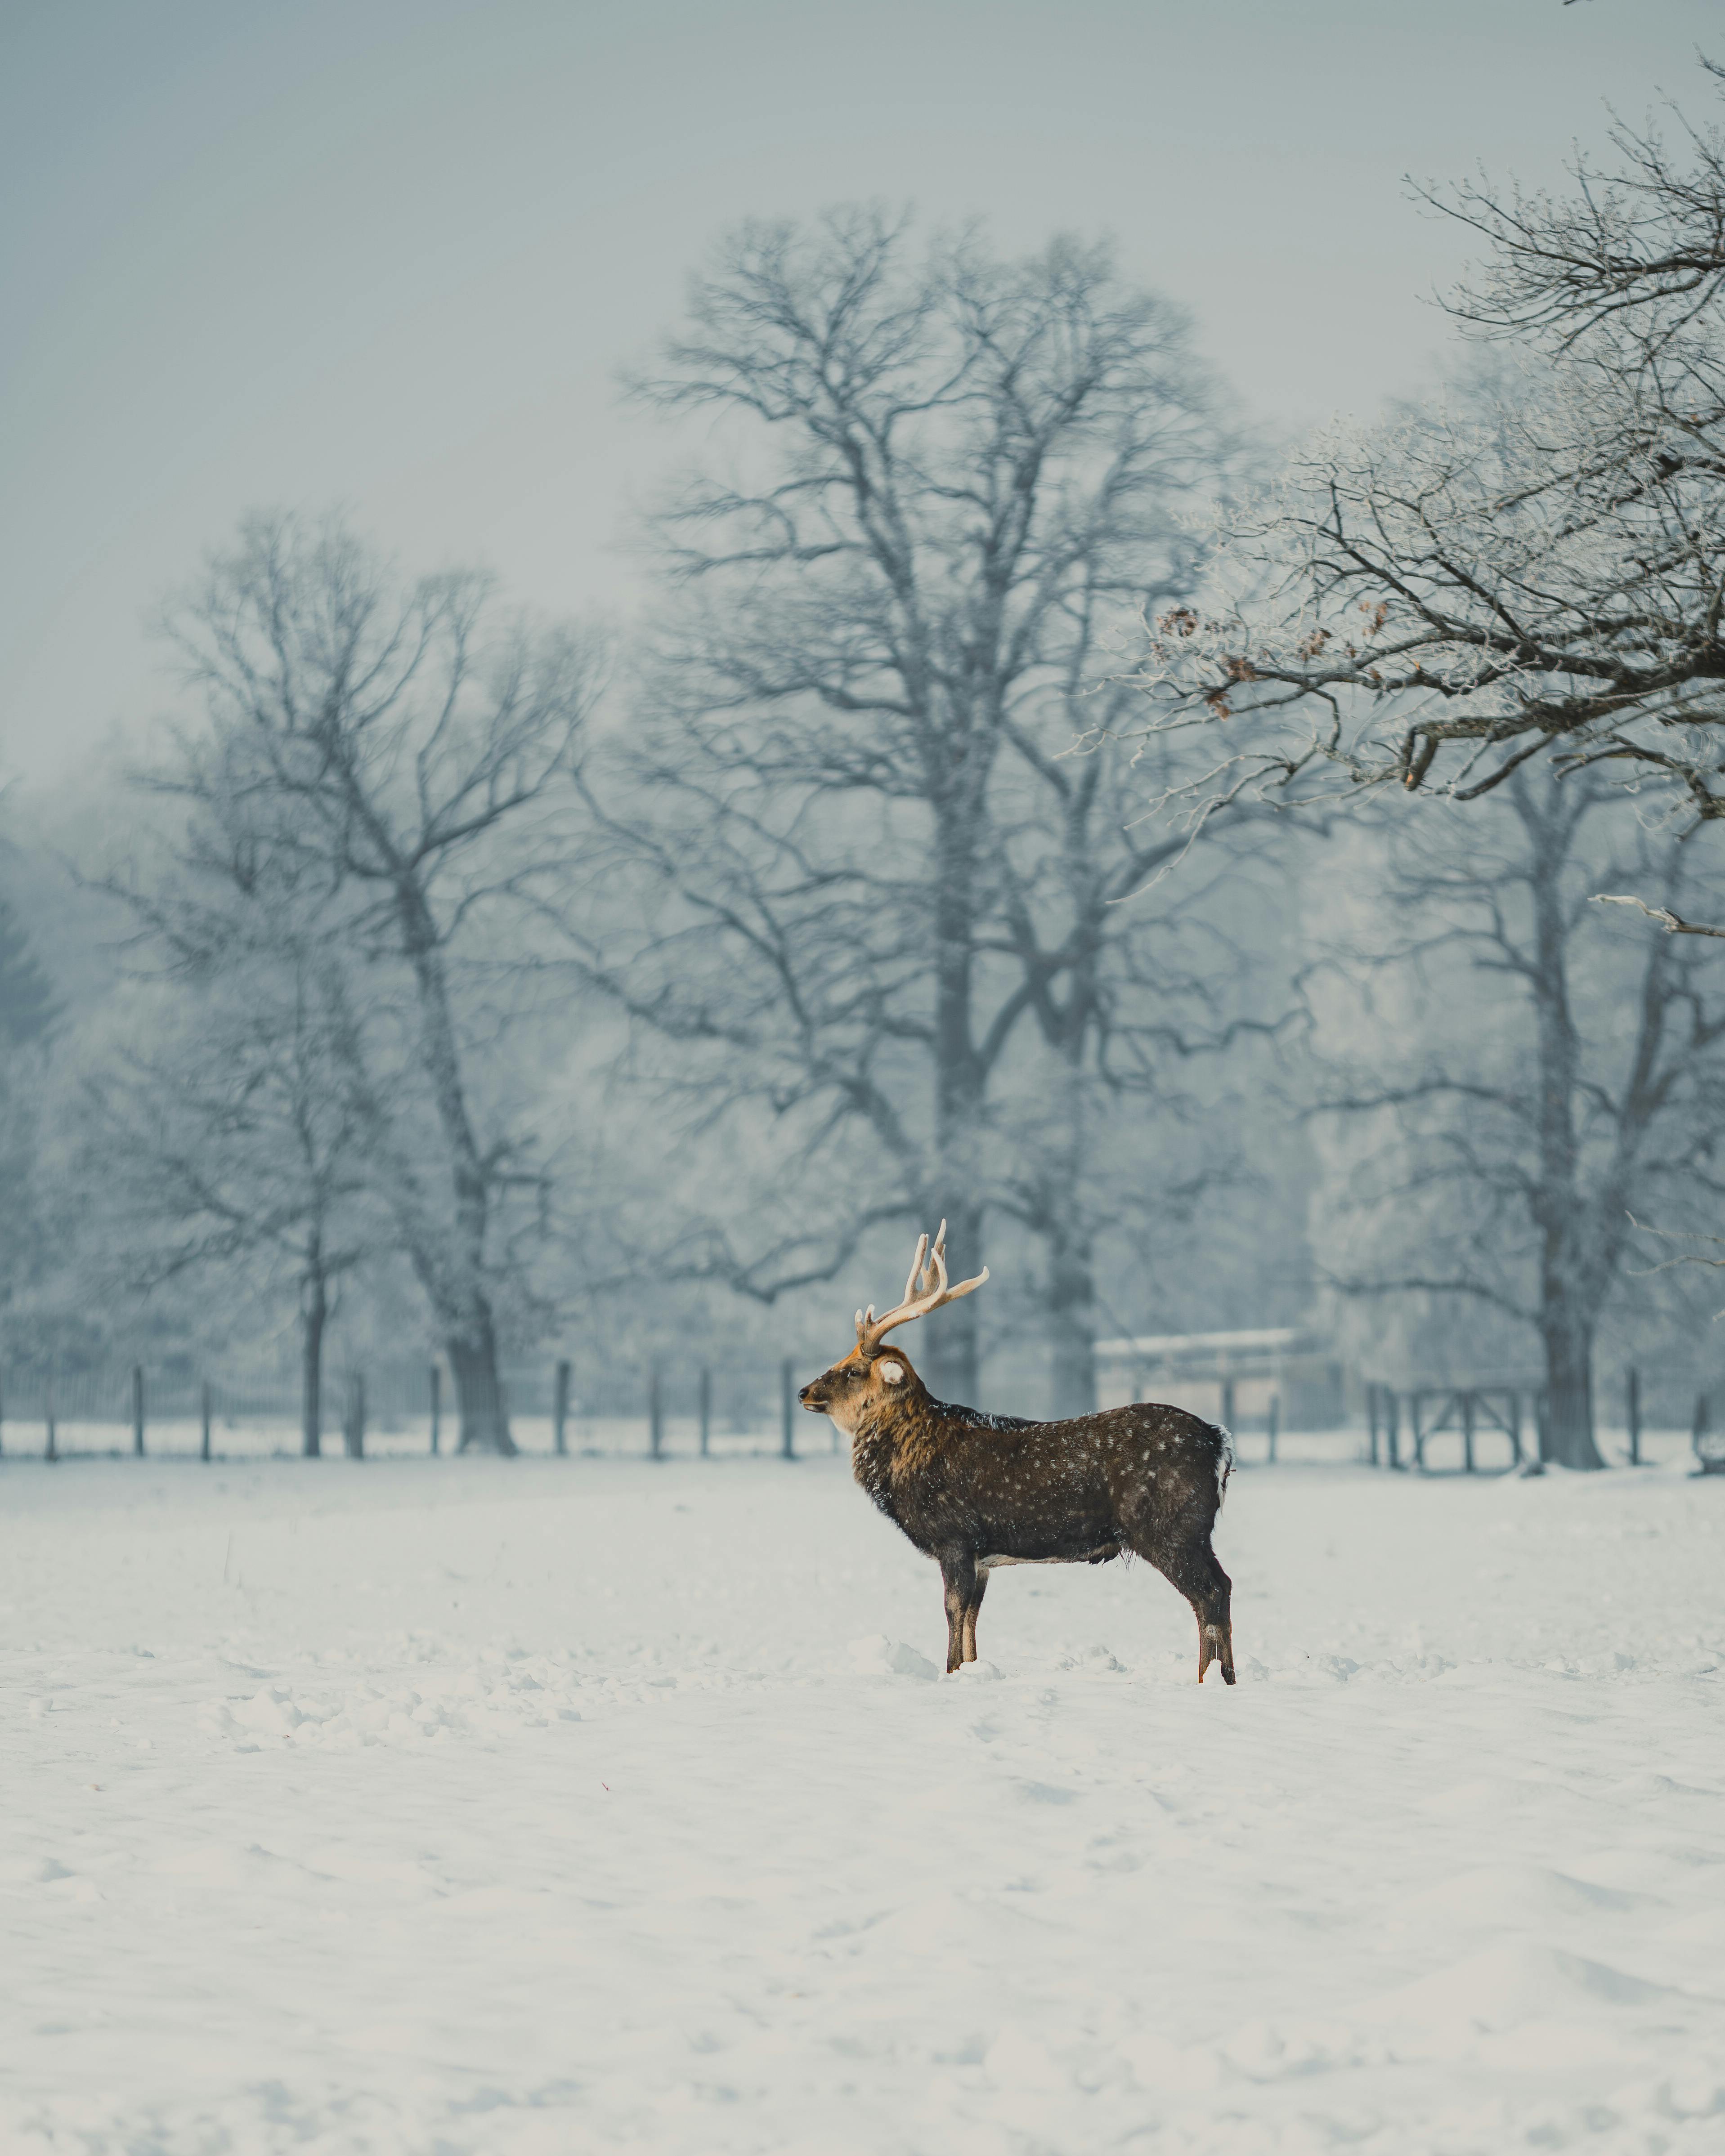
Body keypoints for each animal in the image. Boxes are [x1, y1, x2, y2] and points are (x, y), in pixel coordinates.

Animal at [800, 1225, 1237, 1682]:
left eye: (852, 1371)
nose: (803, 1392)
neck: (910, 1460)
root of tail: (1218, 1442)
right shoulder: (983, 1554)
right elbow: (973, 1621)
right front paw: (971, 1671)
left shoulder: (954, 1536)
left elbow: (953, 1611)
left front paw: (949, 1674)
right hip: (1193, 1530)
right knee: (1223, 1586)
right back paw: (1223, 1678)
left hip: (1168, 1525)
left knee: (1208, 1593)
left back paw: (1209, 1679)